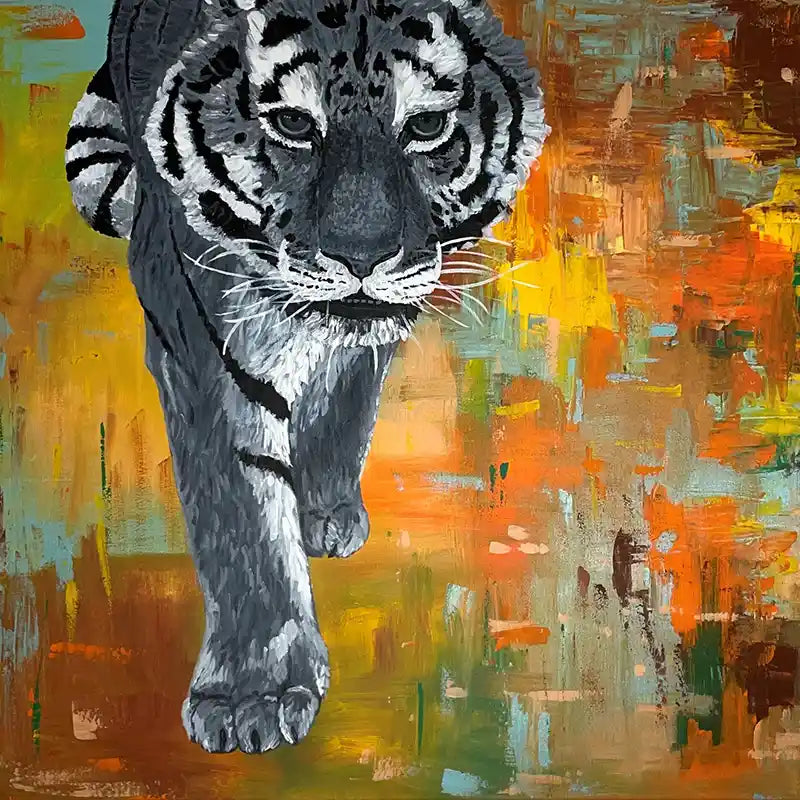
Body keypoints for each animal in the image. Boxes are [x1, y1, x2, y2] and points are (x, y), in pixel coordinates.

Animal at [66, 0, 548, 754]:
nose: (363, 257)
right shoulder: (198, 328)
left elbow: (346, 395)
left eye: (426, 127)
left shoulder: (378, 324)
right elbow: (243, 514)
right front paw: (251, 695)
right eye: (293, 124)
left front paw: (322, 511)